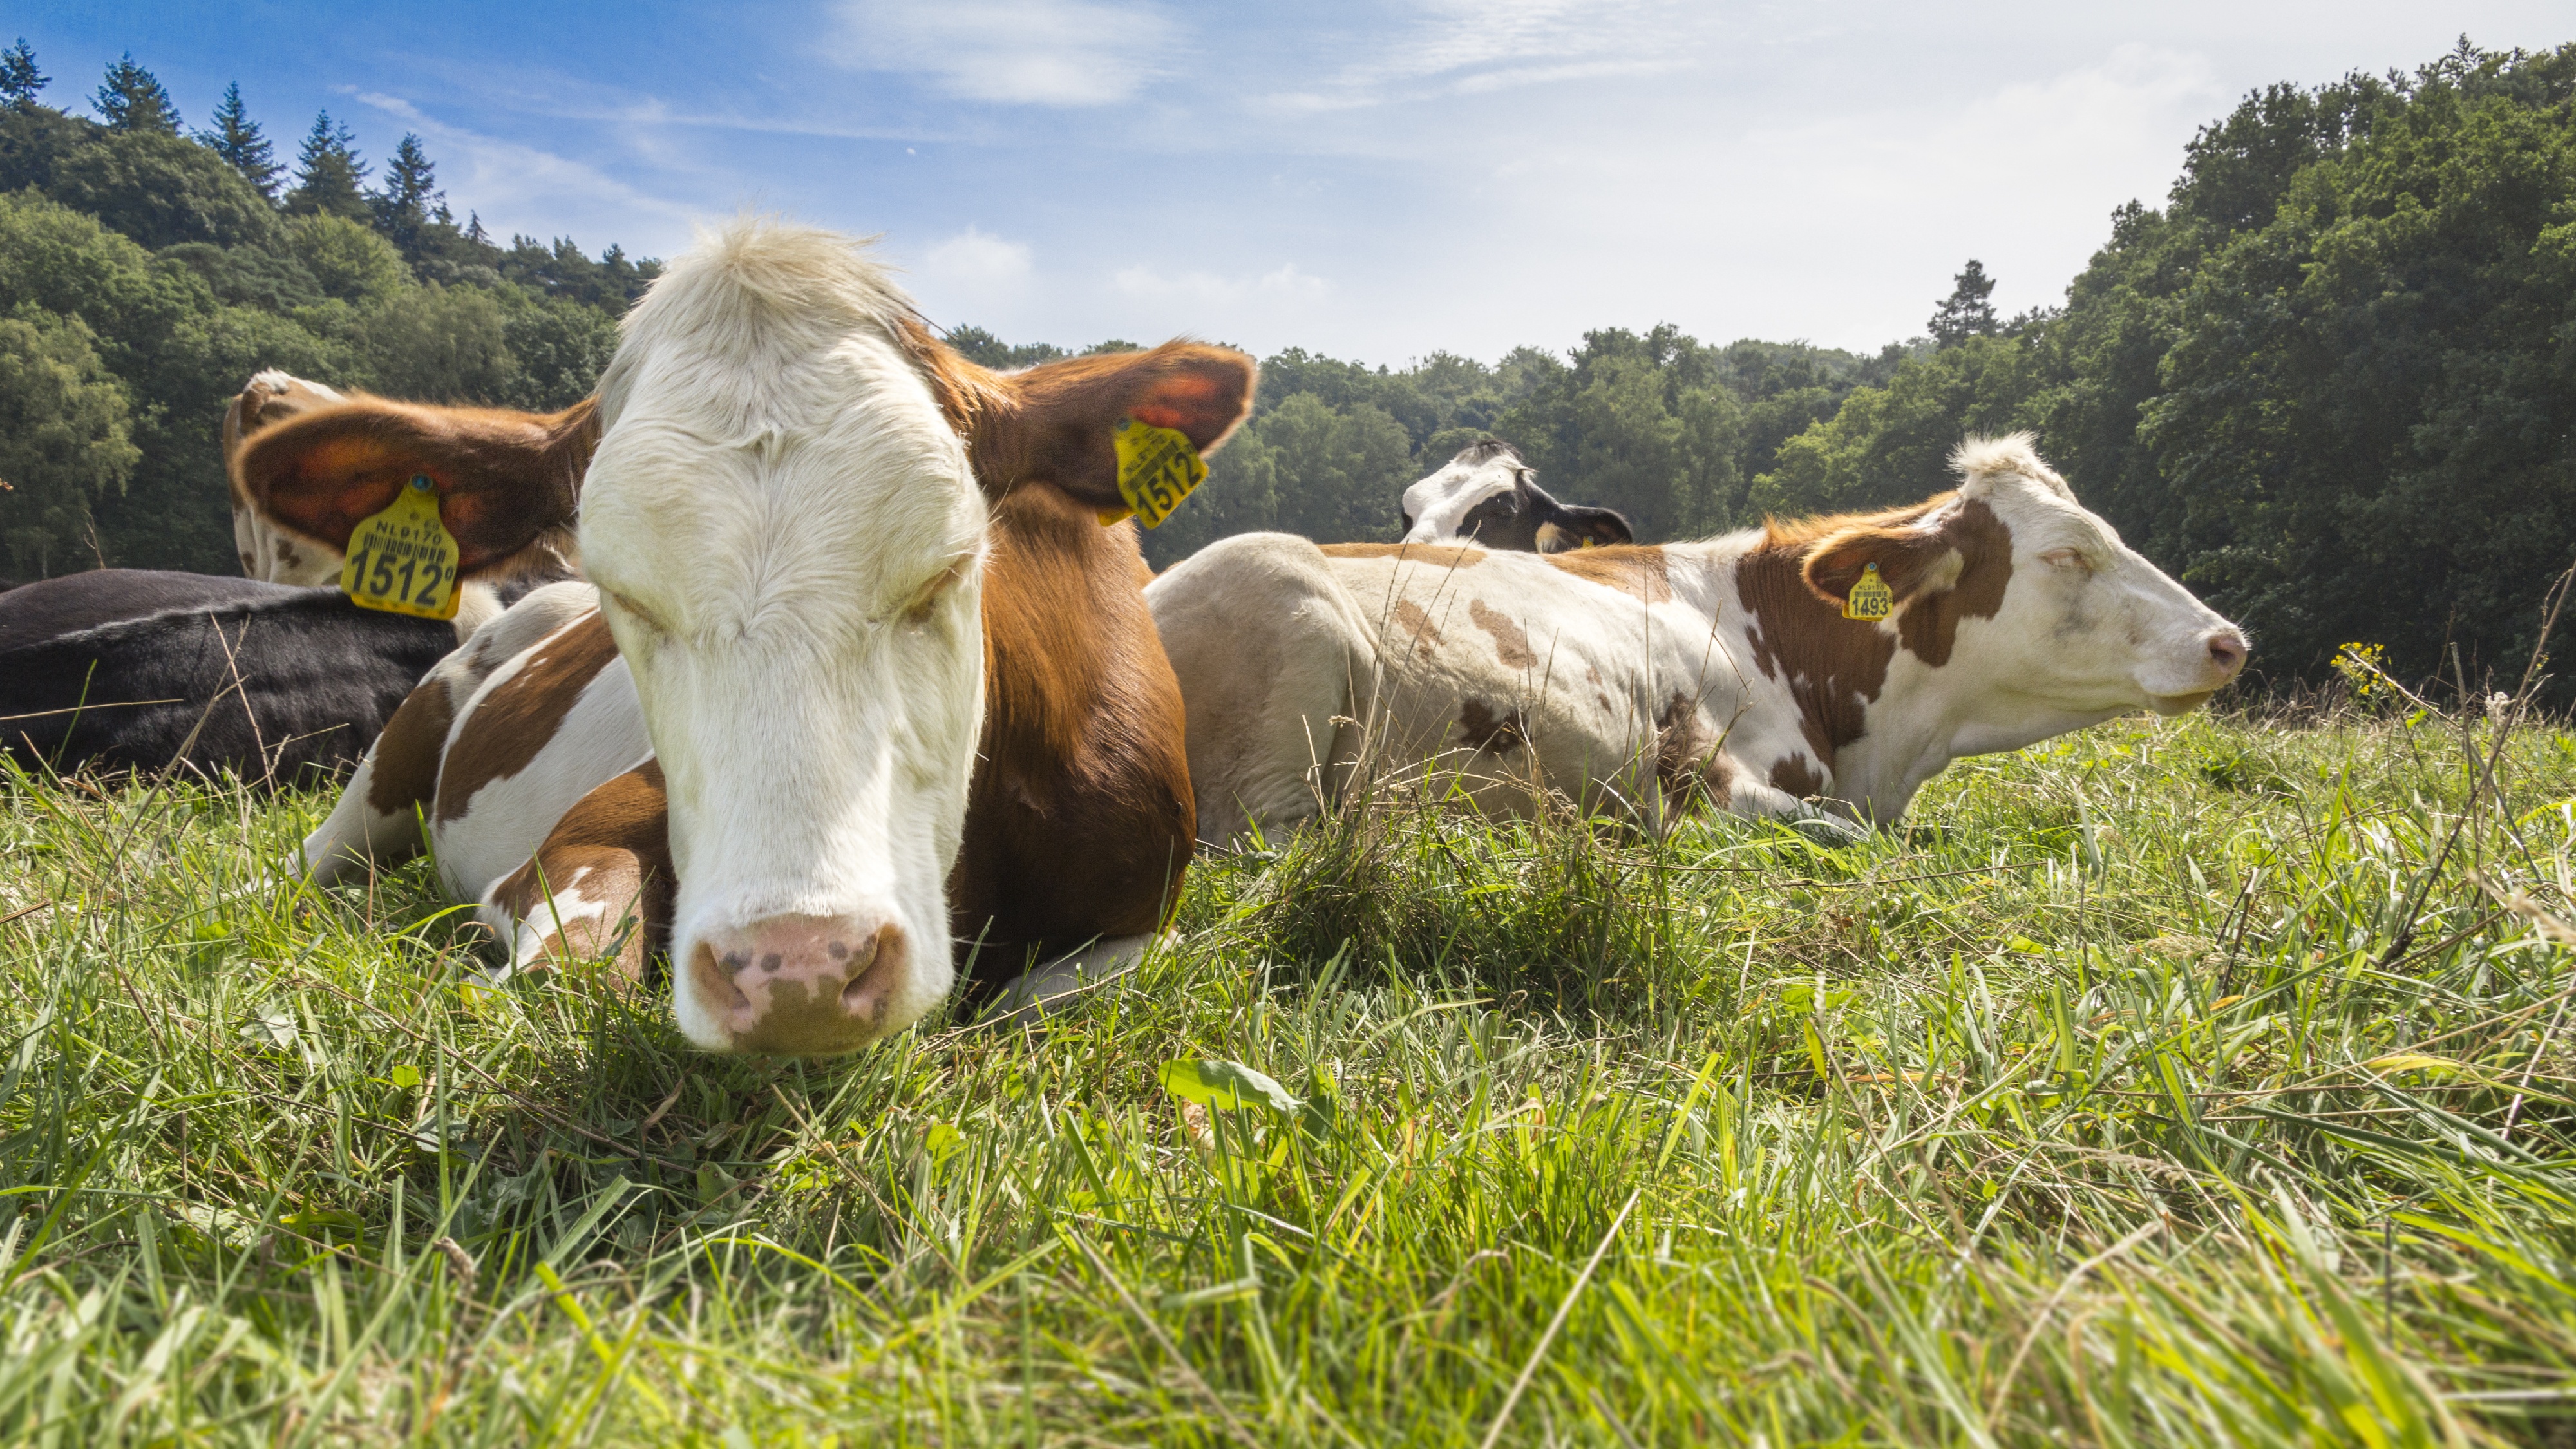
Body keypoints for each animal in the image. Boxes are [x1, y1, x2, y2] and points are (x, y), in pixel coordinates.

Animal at [296, 214, 1252, 1046]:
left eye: (950, 563)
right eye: (623, 591)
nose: (801, 968)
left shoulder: (1147, 906)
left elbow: (1038, 997)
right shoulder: (574, 840)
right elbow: (564, 969)